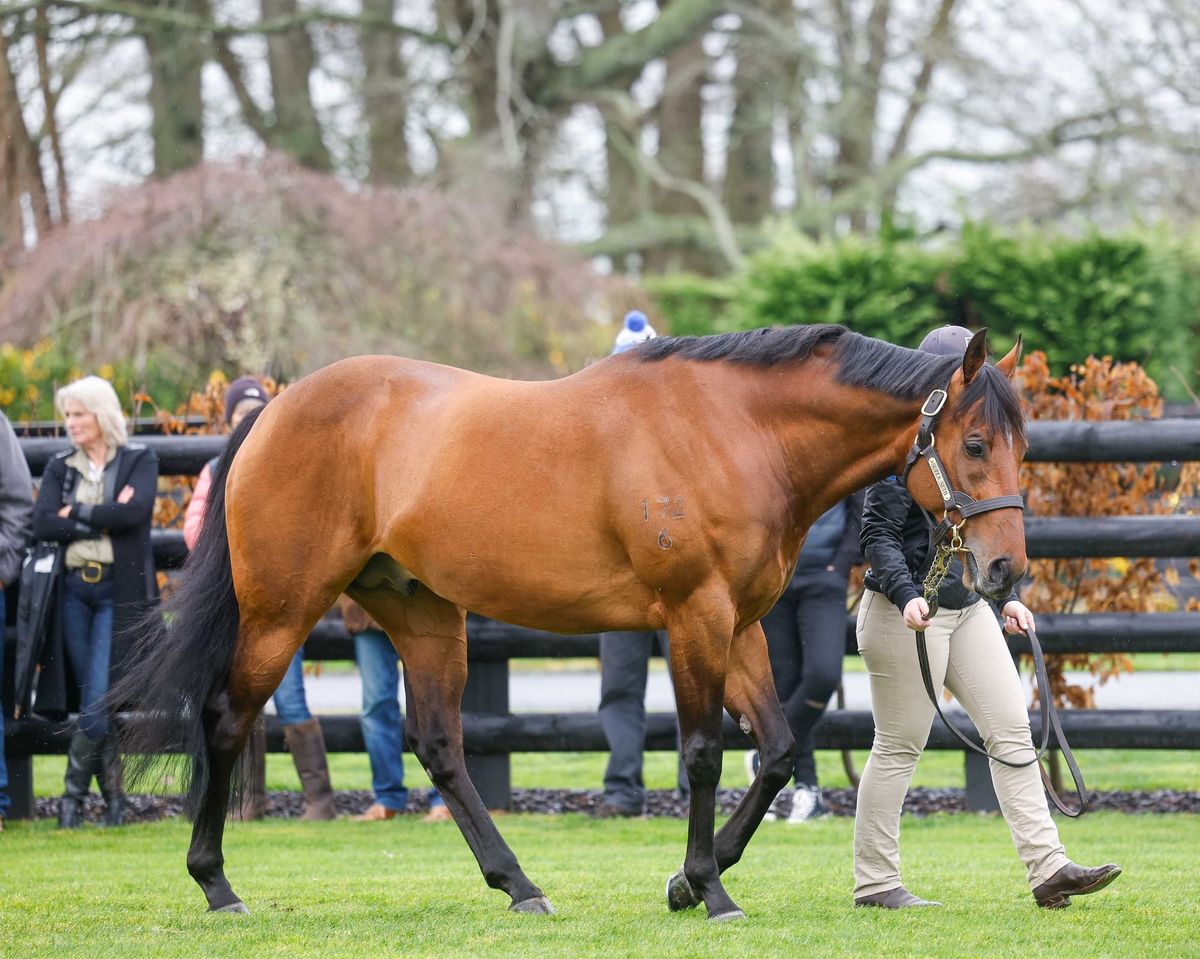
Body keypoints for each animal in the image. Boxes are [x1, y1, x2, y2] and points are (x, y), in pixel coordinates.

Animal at [113, 322, 1028, 921]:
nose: (1007, 570)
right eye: (976, 442)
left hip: (421, 612)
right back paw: (217, 884)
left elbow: (774, 751)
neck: (733, 428)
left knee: (439, 744)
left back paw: (518, 884)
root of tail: (270, 414)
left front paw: (689, 880)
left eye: (1021, 444)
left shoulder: (741, 625)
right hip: (283, 609)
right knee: (226, 718)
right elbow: (702, 753)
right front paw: (712, 888)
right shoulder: (695, 616)